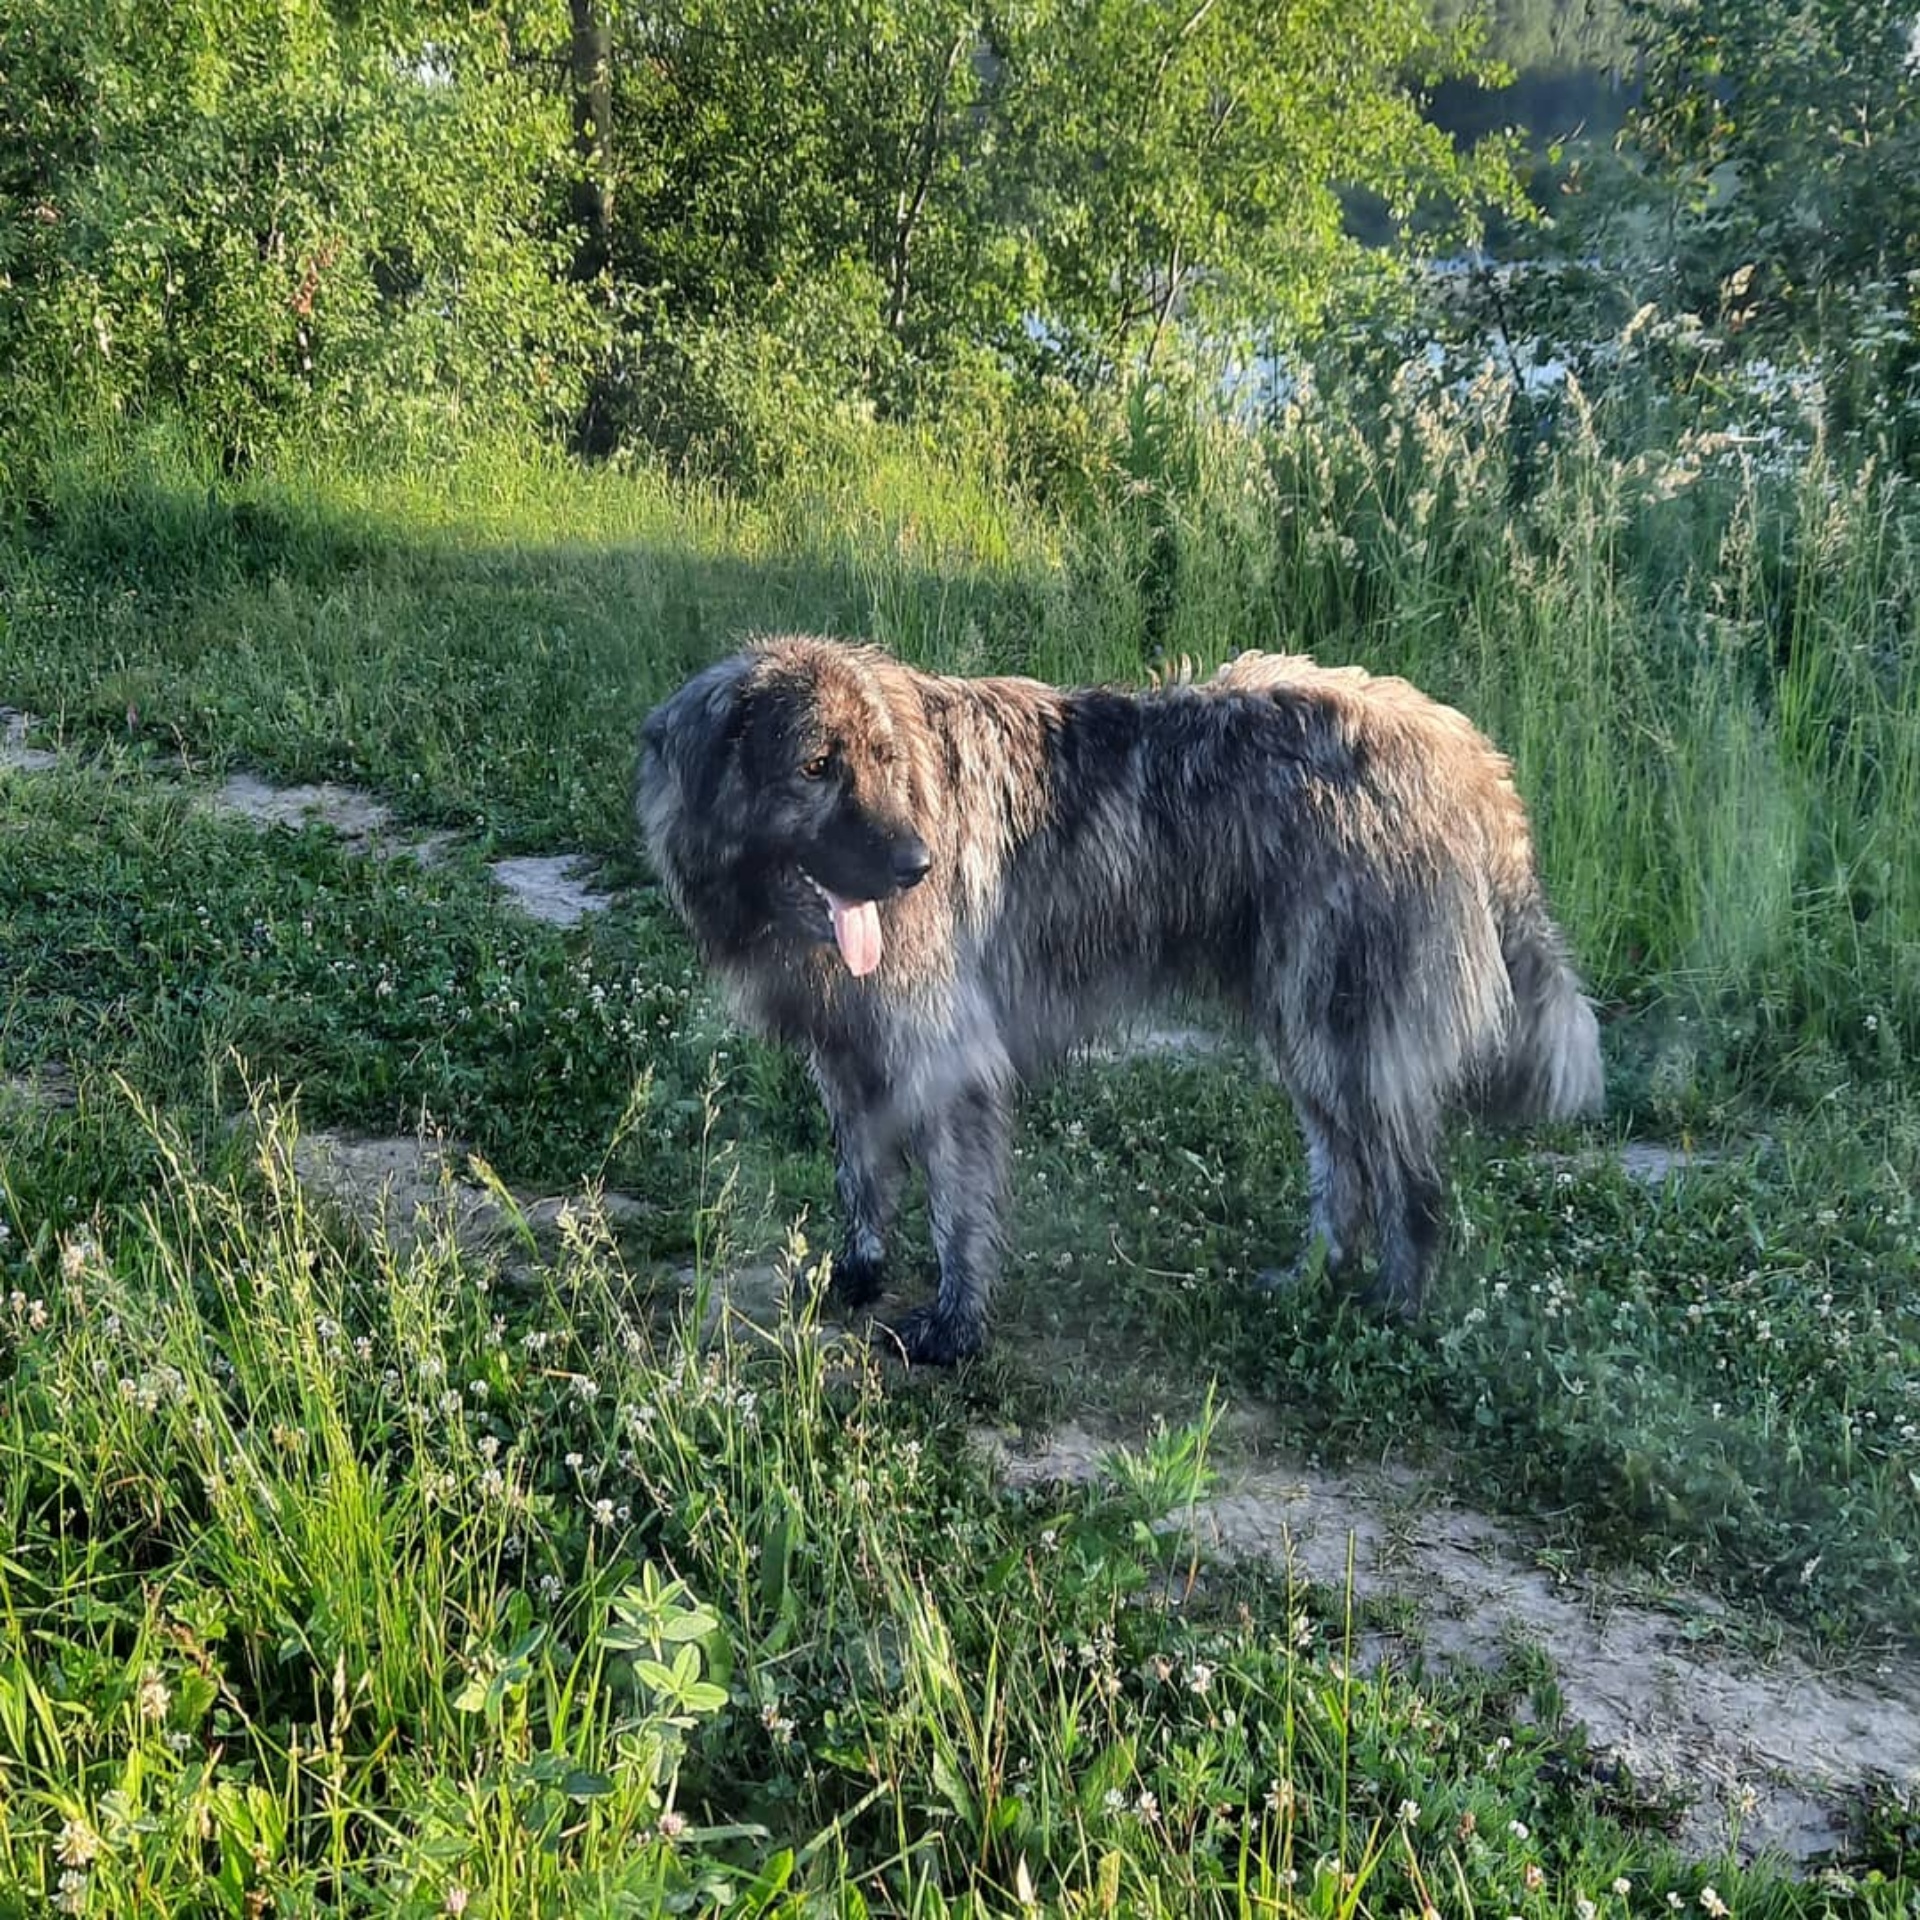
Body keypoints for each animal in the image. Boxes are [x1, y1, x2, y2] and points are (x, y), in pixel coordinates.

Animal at [637, 637, 1597, 1359]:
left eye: (883, 759)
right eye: (815, 765)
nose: (918, 865)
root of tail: (1460, 752)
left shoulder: (946, 1060)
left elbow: (956, 1204)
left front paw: (955, 1326)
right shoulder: (847, 1053)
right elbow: (862, 1175)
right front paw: (860, 1271)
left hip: (1348, 1029)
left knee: (1409, 1184)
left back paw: (1393, 1306)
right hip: (1307, 1030)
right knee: (1344, 1168)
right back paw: (1311, 1278)